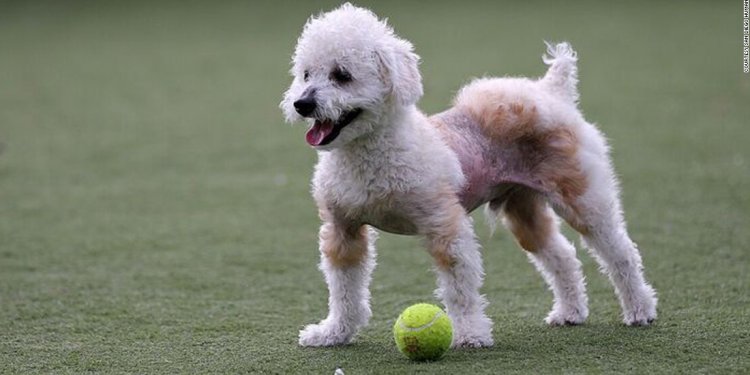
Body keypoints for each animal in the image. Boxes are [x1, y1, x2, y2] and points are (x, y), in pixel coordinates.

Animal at [282, 3, 656, 350]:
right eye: (306, 74)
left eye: (342, 75)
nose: (302, 104)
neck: (369, 156)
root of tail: (553, 91)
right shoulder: (342, 231)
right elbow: (344, 290)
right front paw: (333, 333)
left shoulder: (445, 227)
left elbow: (459, 290)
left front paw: (471, 335)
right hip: (522, 210)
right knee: (562, 257)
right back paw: (570, 313)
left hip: (583, 198)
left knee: (621, 253)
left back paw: (640, 310)